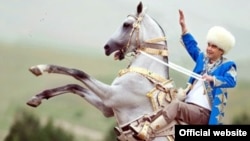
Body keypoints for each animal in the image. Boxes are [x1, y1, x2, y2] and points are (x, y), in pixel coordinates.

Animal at [27, 1, 180, 140]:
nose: (107, 47)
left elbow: (78, 73)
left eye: (126, 24)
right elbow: (74, 86)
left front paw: (40, 69)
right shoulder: (107, 107)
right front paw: (37, 97)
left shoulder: (110, 96)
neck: (145, 75)